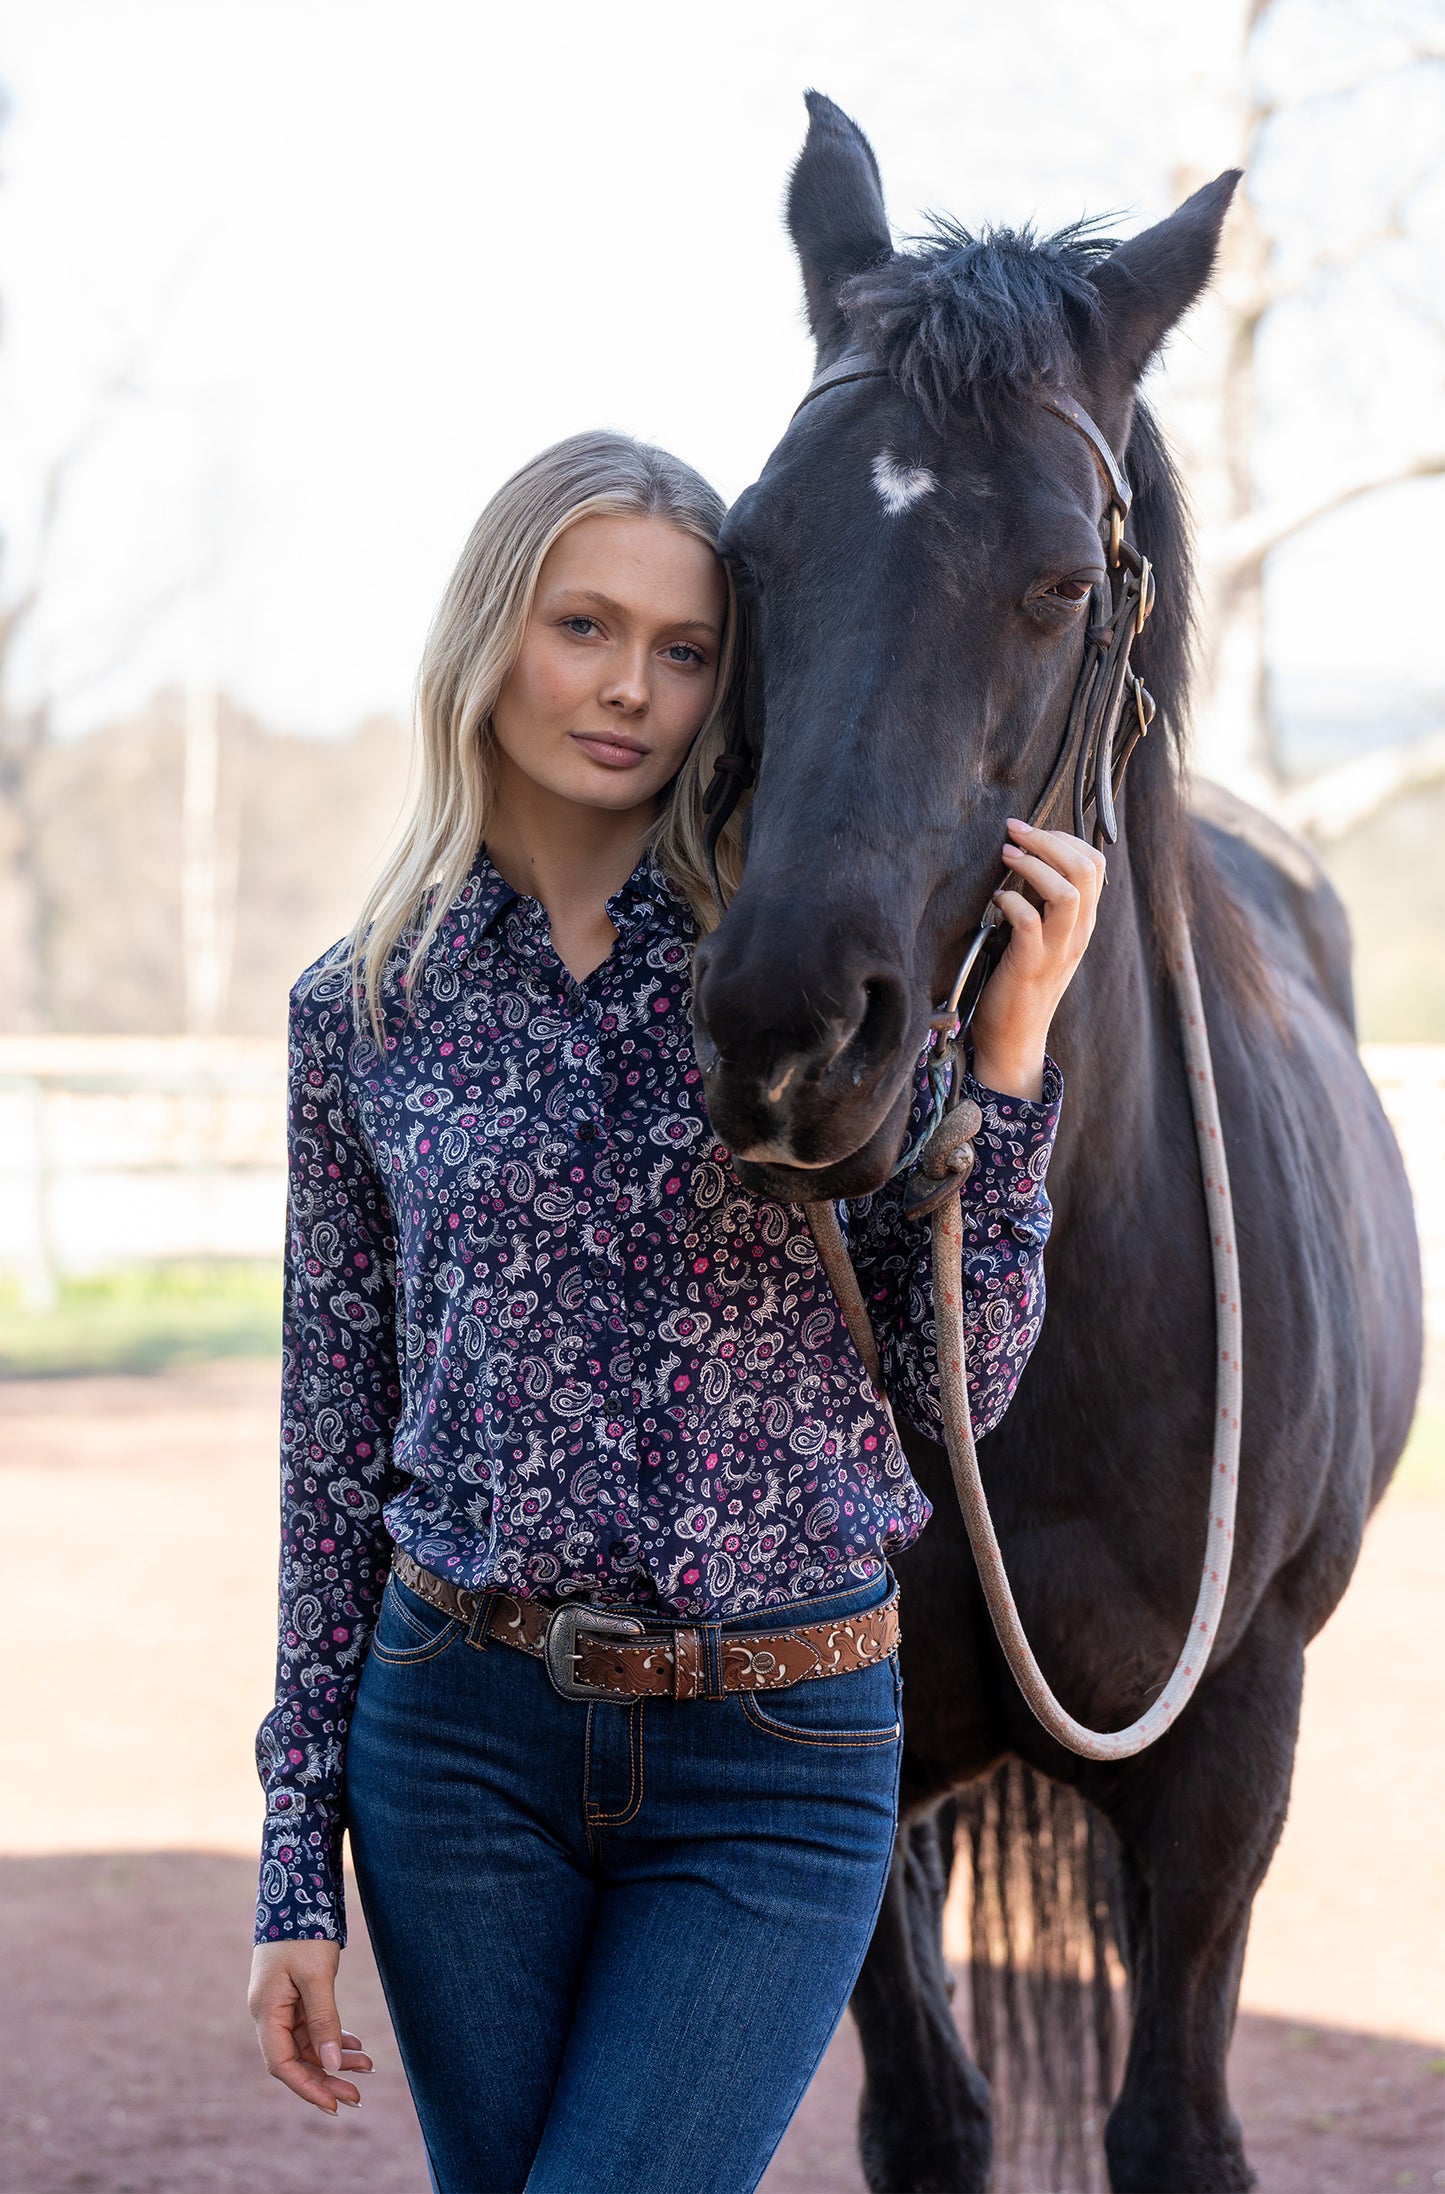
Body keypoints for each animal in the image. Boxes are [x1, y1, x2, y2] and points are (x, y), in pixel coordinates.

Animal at [692, 94, 1420, 2194]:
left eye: (1059, 582)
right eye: (753, 551)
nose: (791, 1027)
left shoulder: (1231, 1737)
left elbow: (1172, 2121)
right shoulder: (836, 1743)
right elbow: (927, 2116)